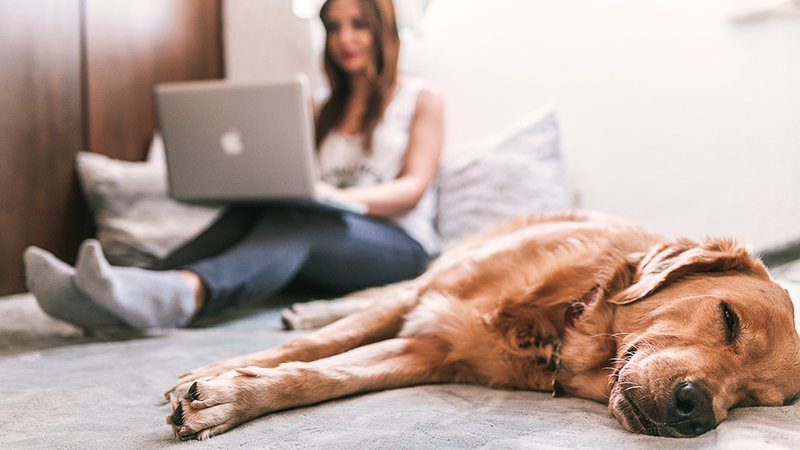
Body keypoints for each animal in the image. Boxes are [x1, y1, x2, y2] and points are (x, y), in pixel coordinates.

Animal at [164, 212, 800, 440]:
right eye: (727, 318)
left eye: (757, 400)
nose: (697, 411)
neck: (559, 320)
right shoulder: (425, 300)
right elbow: (323, 344)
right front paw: (218, 374)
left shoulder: (427, 351)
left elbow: (323, 376)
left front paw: (228, 397)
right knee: (367, 299)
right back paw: (308, 307)